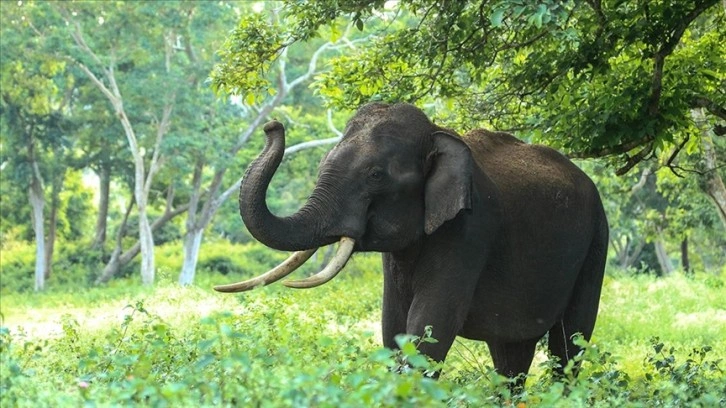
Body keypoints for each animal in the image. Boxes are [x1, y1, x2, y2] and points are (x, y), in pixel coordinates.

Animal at [215, 103, 608, 386]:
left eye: (375, 175)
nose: (272, 126)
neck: (437, 133)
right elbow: (394, 327)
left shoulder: (470, 230)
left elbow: (429, 327)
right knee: (510, 355)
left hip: (596, 241)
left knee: (569, 343)